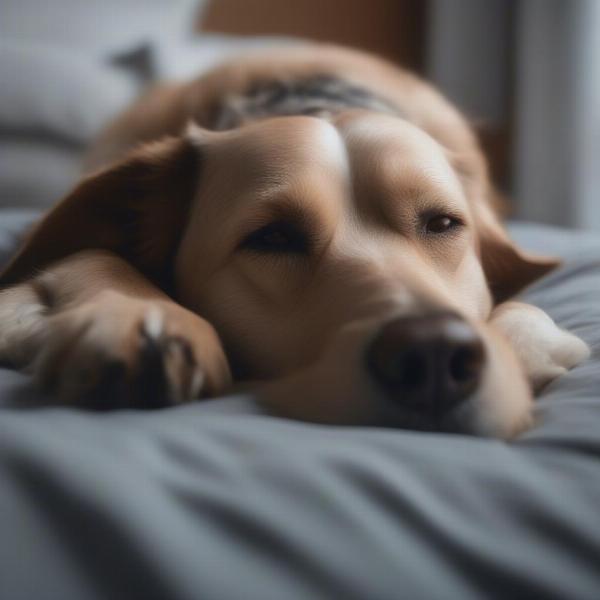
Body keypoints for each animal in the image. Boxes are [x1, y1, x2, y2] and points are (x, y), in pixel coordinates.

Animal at [0, 43, 588, 436]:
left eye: (443, 224)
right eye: (273, 236)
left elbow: (524, 311)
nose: (435, 354)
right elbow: (92, 253)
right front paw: (137, 316)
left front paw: (523, 348)